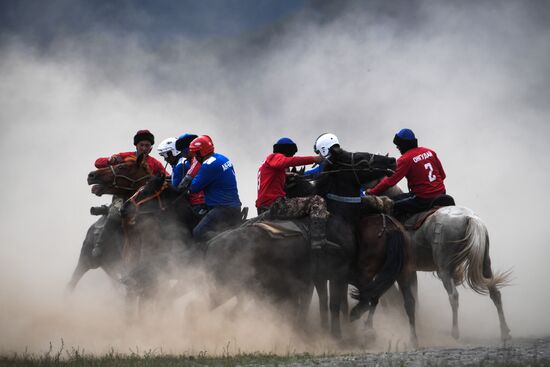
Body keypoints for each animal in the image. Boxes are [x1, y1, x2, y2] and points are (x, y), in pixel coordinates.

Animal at [364, 180, 516, 344]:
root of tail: (469, 218)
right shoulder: (410, 271)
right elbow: (413, 298)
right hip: (485, 265)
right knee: (495, 292)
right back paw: (504, 332)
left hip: (444, 270)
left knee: (454, 296)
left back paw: (455, 332)